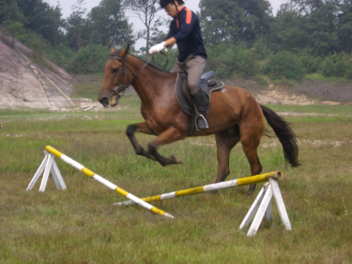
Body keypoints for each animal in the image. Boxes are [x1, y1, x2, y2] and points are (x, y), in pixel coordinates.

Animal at [98, 45, 300, 195]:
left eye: (115, 69)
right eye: (104, 69)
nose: (103, 99)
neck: (157, 91)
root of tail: (256, 102)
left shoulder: (177, 131)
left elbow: (153, 146)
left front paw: (171, 160)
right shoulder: (154, 127)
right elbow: (131, 131)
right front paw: (145, 154)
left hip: (248, 139)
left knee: (256, 166)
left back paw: (250, 192)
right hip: (225, 138)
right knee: (224, 167)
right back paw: (212, 191)